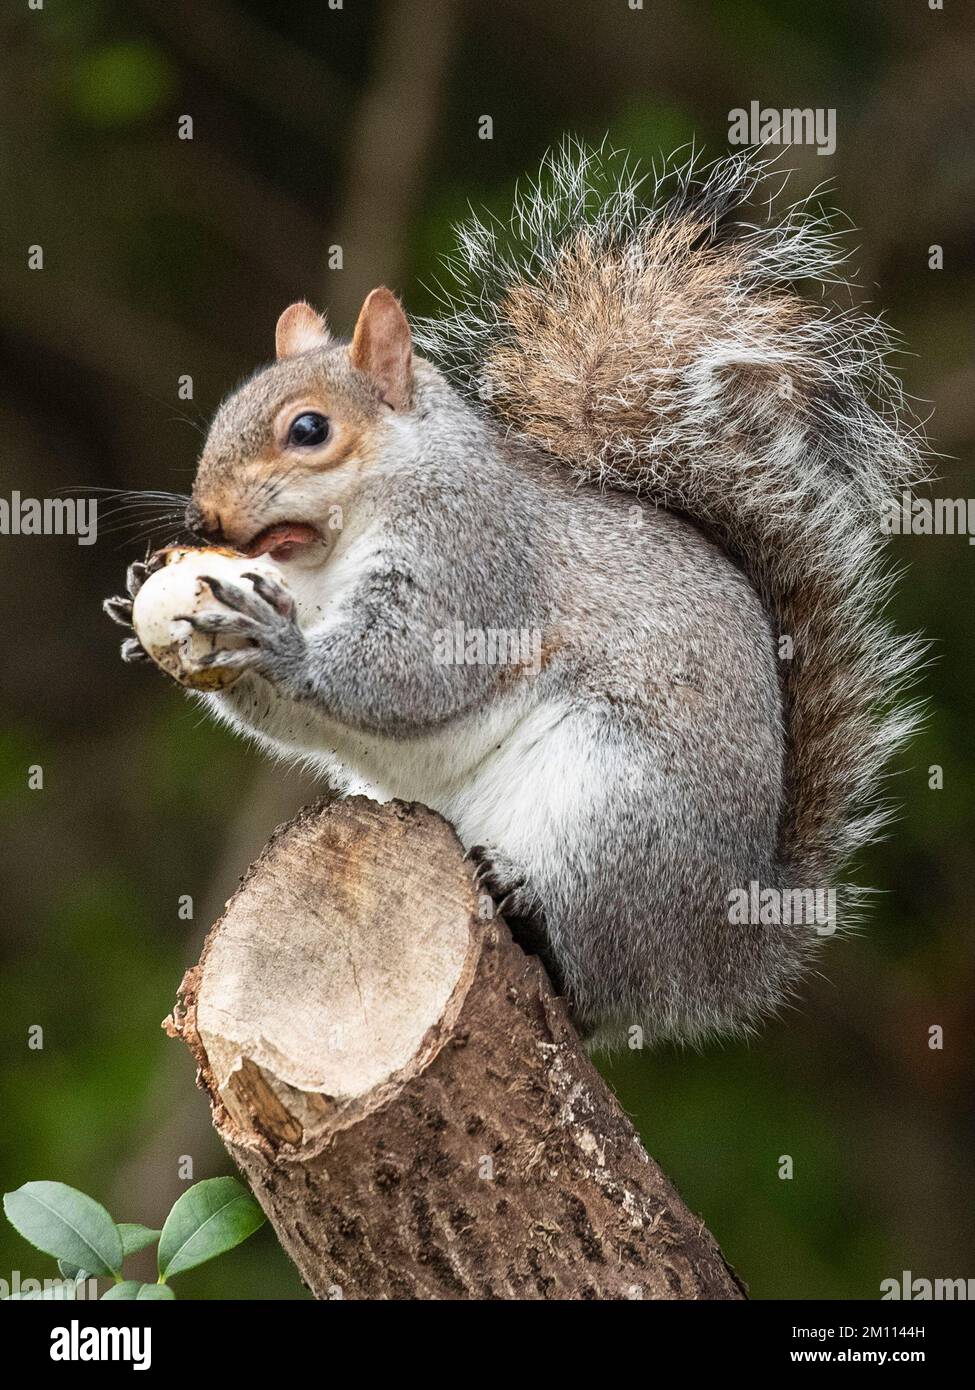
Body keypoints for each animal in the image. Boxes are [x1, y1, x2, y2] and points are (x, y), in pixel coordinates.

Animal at [102, 146, 923, 1045]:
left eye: (308, 430)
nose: (202, 517)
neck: (326, 561)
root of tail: (723, 944)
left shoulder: (473, 560)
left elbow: (410, 672)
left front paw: (277, 646)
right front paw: (144, 604)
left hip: (609, 808)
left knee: (589, 973)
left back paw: (527, 905)